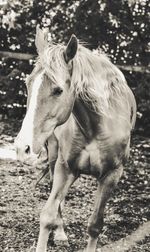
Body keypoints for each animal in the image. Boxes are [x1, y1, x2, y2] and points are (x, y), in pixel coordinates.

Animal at [14, 26, 136, 252]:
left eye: (58, 90)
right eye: (28, 84)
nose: (21, 148)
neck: (95, 126)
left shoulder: (112, 175)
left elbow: (95, 225)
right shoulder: (65, 167)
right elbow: (48, 215)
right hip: (56, 158)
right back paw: (61, 233)